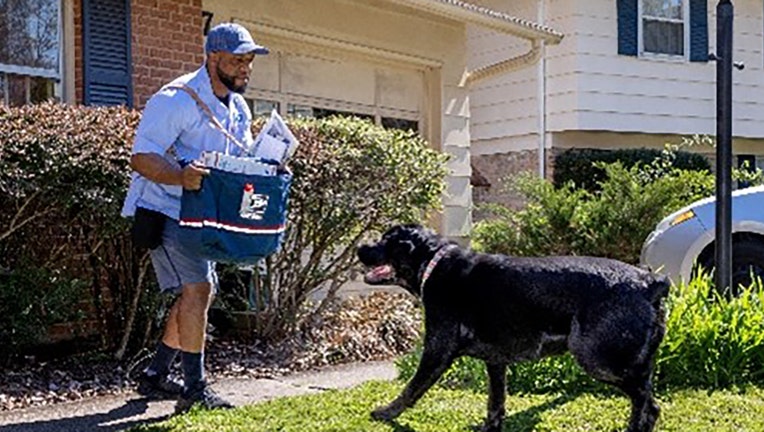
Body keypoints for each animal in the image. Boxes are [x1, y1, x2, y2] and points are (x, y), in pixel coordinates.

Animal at [358, 224, 668, 430]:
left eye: (385, 241)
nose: (360, 247)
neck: (433, 263)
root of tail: (650, 282)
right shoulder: (496, 361)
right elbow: (496, 401)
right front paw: (490, 426)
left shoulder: (436, 351)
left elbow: (411, 388)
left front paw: (386, 413)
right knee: (647, 401)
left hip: (598, 360)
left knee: (646, 402)